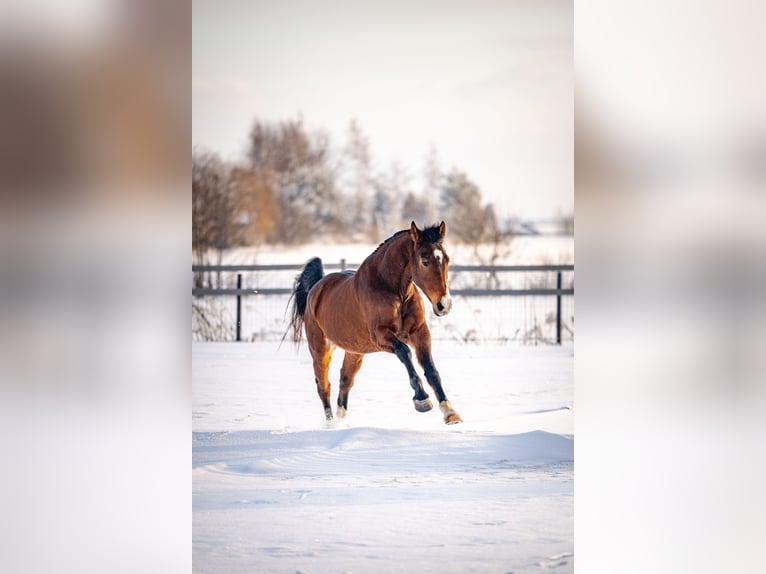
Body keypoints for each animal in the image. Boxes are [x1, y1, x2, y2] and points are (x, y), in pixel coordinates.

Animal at [286, 221, 463, 425]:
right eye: (425, 262)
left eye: (446, 260)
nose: (444, 305)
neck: (392, 289)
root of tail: (316, 288)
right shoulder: (381, 336)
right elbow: (405, 352)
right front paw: (421, 399)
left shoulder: (419, 332)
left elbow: (431, 370)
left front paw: (450, 412)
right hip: (320, 350)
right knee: (324, 386)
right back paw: (330, 425)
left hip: (354, 351)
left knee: (345, 381)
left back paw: (341, 423)